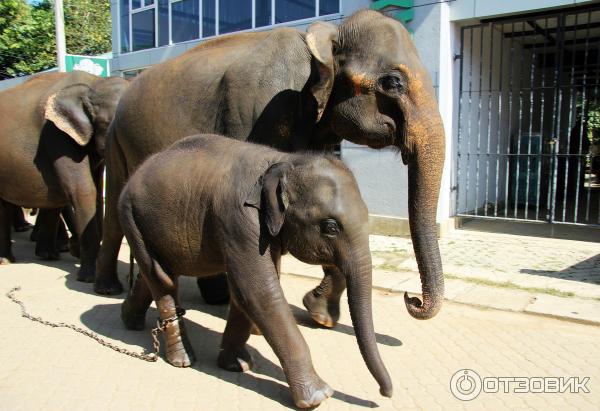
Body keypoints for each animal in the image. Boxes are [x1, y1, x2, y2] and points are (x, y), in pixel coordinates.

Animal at [0, 71, 127, 284]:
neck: (95, 83)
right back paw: (8, 260)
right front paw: (88, 277)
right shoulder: (57, 135)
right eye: (109, 125)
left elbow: (95, 190)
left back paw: (44, 255)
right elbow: (83, 191)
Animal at [96, 8, 446, 326]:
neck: (324, 38)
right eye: (393, 82)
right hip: (117, 142)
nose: (412, 300)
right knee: (113, 207)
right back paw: (106, 288)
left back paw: (214, 295)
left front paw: (319, 315)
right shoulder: (263, 108)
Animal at [119, 135, 392, 408]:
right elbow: (259, 291)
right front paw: (318, 397)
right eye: (331, 227)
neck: (283, 160)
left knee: (160, 273)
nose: (384, 394)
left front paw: (238, 365)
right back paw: (183, 359)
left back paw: (129, 320)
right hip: (131, 216)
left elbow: (245, 292)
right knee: (162, 280)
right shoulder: (238, 219)